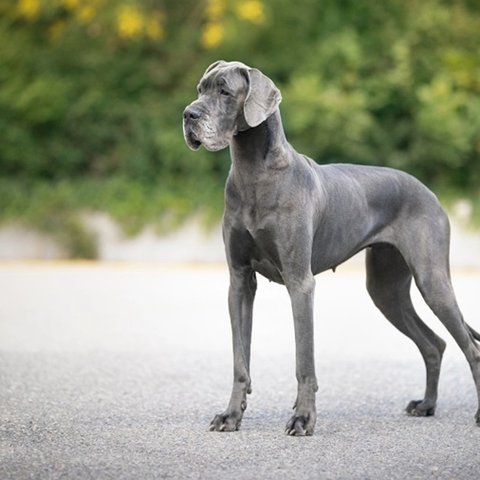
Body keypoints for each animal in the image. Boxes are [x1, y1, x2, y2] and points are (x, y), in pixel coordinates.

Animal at [183, 59, 480, 436]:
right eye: (200, 89)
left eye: (224, 91)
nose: (188, 114)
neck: (254, 172)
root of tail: (430, 193)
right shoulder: (239, 280)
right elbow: (240, 359)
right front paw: (231, 415)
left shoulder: (300, 282)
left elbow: (304, 361)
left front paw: (303, 418)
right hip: (385, 288)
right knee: (434, 343)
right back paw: (426, 405)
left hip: (432, 280)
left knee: (469, 347)